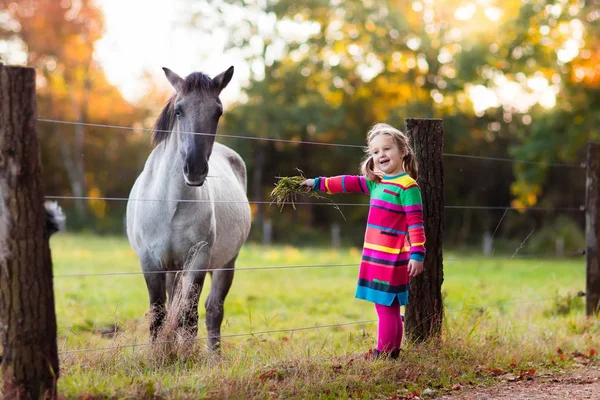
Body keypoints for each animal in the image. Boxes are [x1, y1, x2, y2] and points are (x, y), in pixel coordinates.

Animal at [125, 66, 250, 350]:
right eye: (179, 110)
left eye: (218, 112)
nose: (195, 168)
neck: (171, 205)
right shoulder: (150, 263)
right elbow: (159, 316)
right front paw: (160, 355)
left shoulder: (198, 260)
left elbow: (189, 316)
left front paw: (186, 355)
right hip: (174, 269)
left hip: (226, 263)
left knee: (213, 310)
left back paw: (214, 356)